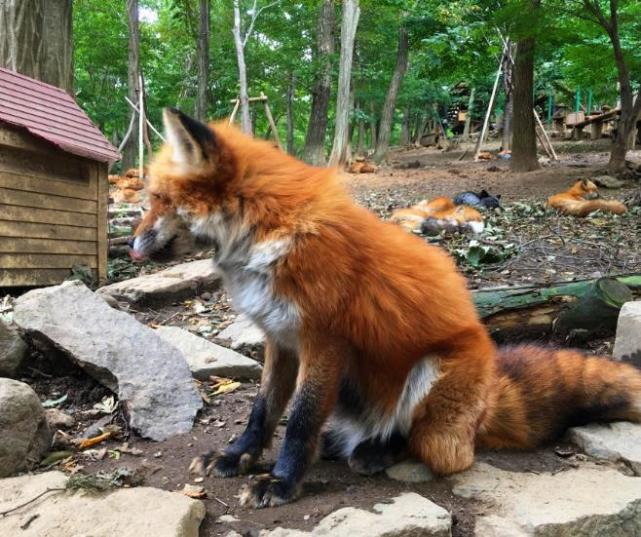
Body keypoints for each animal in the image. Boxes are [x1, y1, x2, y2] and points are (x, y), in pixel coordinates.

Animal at [130, 109, 640, 506]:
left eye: (156, 199)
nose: (132, 246)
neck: (267, 232)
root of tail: (486, 401)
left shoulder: (324, 340)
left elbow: (300, 420)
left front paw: (282, 482)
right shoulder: (280, 337)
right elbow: (264, 410)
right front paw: (237, 456)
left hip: (430, 377)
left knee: (435, 449)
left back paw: (377, 451)